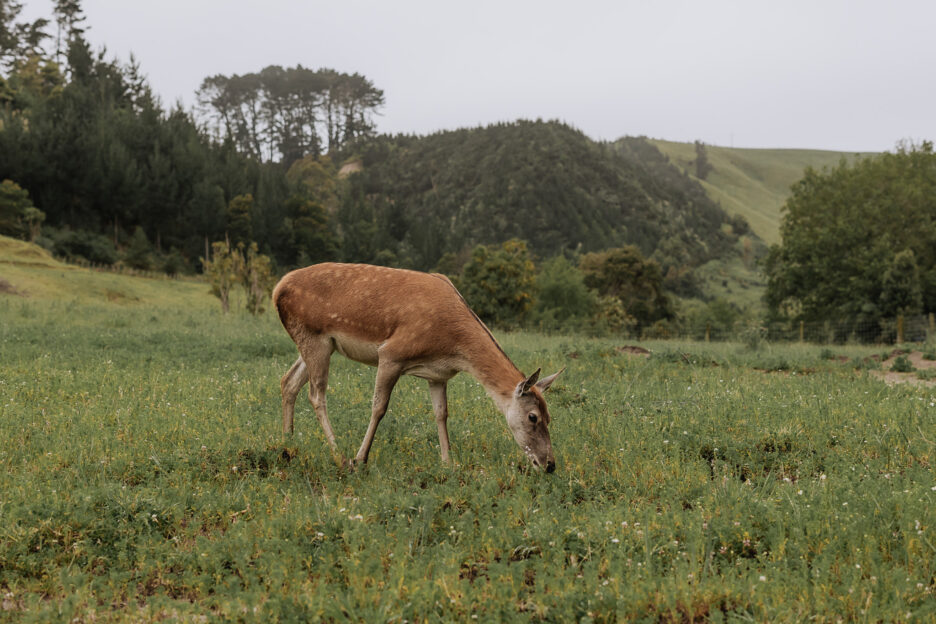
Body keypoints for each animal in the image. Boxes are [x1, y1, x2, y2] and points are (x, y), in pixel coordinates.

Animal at [270, 264, 564, 472]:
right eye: (533, 417)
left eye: (550, 417)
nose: (549, 465)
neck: (453, 347)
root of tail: (276, 290)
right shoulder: (392, 353)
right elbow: (379, 407)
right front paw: (361, 458)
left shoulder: (438, 374)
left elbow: (441, 413)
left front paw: (448, 462)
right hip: (313, 337)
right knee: (316, 394)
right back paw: (340, 457)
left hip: (318, 343)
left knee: (288, 381)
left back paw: (287, 444)